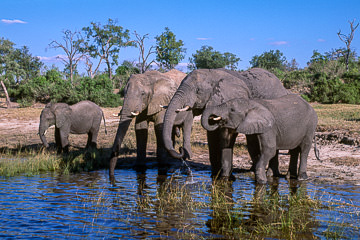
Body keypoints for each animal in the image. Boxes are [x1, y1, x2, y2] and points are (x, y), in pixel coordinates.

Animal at [161, 67, 290, 180]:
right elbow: (212, 136)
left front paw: (225, 176)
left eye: (197, 91)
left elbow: (226, 135)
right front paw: (215, 176)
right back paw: (253, 170)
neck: (212, 73)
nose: (180, 149)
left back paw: (270, 174)